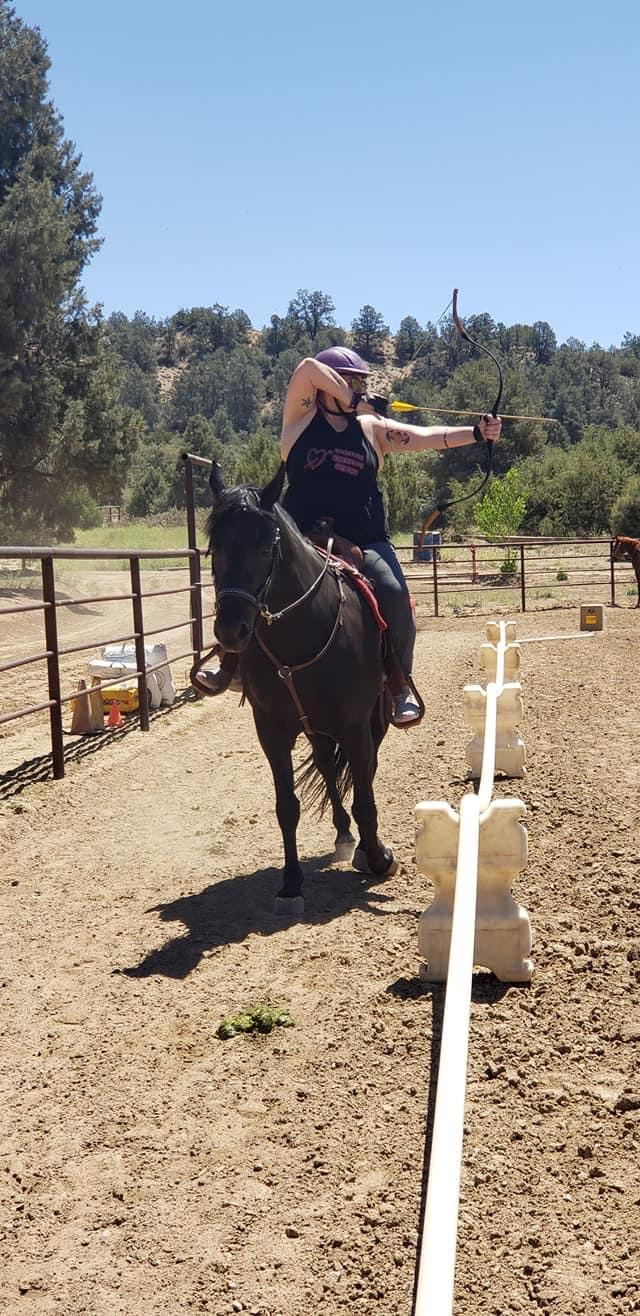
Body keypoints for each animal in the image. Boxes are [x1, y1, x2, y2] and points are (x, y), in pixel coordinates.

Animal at [205, 461, 397, 914]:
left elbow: (365, 794)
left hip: (372, 719)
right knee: (328, 766)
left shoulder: (356, 725)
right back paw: (344, 835)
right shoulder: (272, 731)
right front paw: (291, 882)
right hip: (315, 726)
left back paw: (362, 846)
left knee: (364, 770)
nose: (231, 631)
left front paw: (378, 857)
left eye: (264, 547)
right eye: (214, 548)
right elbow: (286, 807)